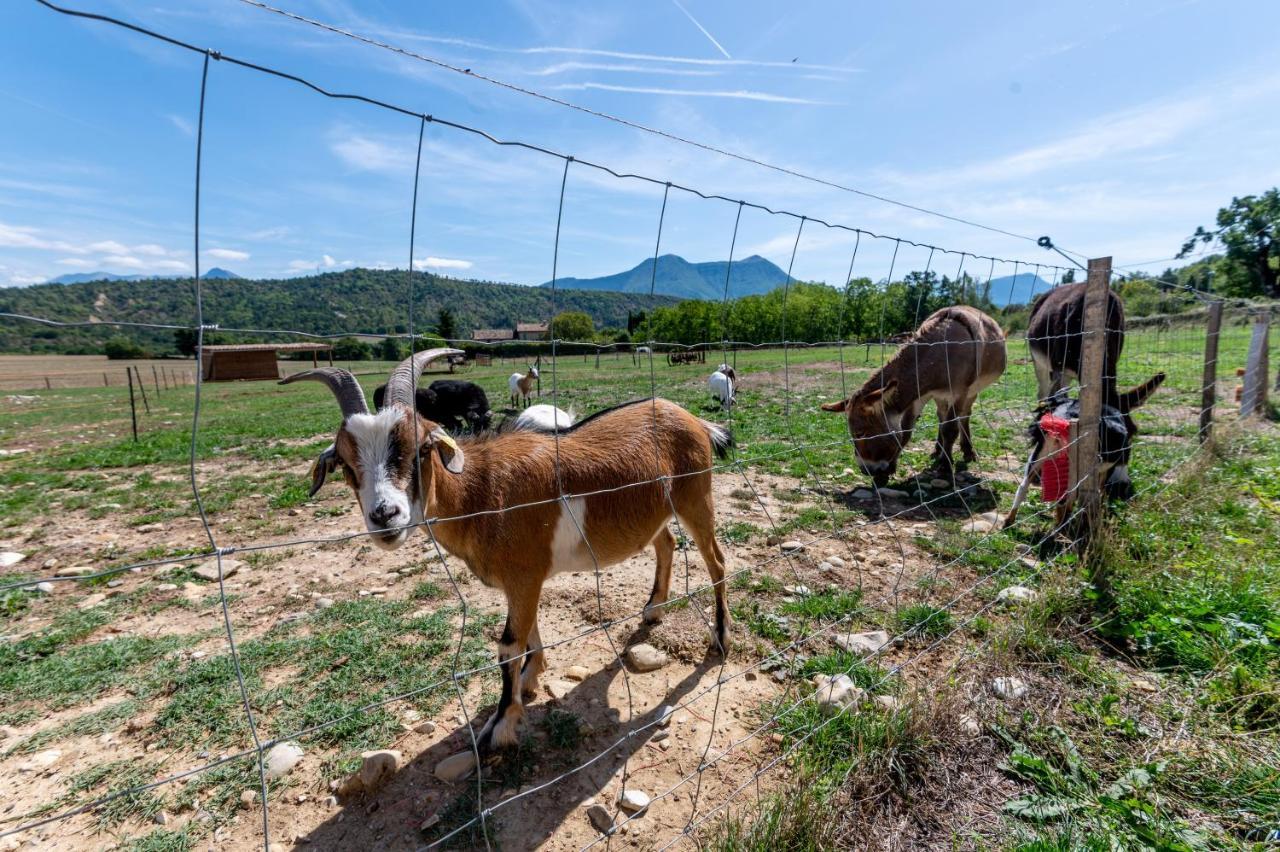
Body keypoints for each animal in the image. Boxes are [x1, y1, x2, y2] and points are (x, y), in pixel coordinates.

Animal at [285, 350, 737, 752]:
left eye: (422, 448)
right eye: (345, 463)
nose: (385, 515)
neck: (483, 491)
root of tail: (695, 419)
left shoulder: (523, 575)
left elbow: (507, 646)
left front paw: (501, 725)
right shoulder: (522, 580)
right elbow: (527, 633)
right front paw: (531, 678)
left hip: (696, 497)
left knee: (716, 560)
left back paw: (720, 638)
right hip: (656, 510)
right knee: (667, 543)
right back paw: (653, 610)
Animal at [819, 305, 1008, 483]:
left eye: (860, 433)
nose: (866, 470)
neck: (940, 354)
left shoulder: (960, 393)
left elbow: (950, 429)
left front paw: (945, 466)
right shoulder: (919, 396)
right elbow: (905, 431)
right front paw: (888, 470)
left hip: (972, 391)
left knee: (964, 415)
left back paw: (967, 451)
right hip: (940, 396)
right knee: (942, 416)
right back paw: (938, 449)